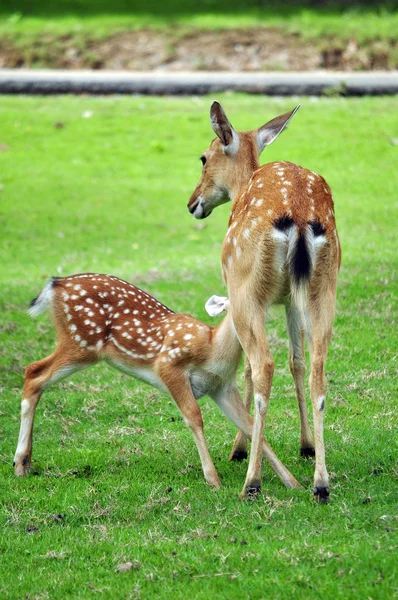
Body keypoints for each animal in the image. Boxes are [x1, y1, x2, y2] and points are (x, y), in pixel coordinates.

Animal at [14, 274, 300, 490]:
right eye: (234, 307)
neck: (212, 350)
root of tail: (56, 284)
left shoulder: (221, 387)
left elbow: (249, 425)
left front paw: (292, 482)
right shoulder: (169, 365)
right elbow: (194, 416)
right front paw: (213, 480)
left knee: (34, 375)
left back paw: (25, 463)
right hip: (82, 341)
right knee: (33, 372)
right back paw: (19, 464)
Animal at [188, 103, 340, 502]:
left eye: (204, 157)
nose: (193, 203)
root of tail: (299, 217)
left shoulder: (243, 294)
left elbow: (247, 368)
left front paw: (238, 449)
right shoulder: (289, 299)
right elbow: (297, 361)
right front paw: (306, 445)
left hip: (245, 288)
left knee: (263, 365)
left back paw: (252, 481)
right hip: (324, 287)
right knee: (317, 369)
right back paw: (321, 483)